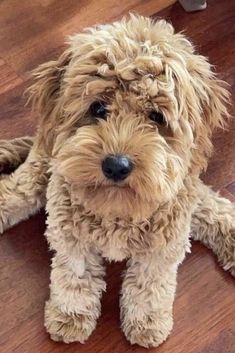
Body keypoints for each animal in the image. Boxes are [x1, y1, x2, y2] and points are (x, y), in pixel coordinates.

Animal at [0, 14, 235, 346]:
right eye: (98, 107)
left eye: (156, 116)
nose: (116, 165)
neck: (118, 209)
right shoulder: (71, 233)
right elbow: (75, 275)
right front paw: (70, 316)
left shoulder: (165, 239)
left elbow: (150, 282)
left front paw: (147, 321)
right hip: (37, 175)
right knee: (9, 194)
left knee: (208, 206)